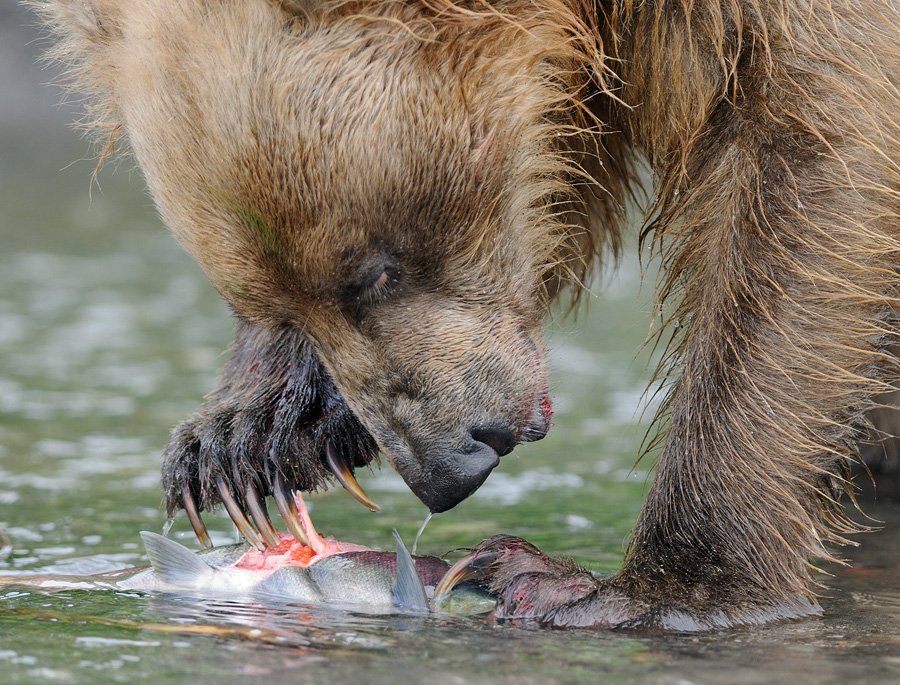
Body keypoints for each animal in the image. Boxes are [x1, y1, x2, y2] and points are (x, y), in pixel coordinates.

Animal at [33, 1, 892, 632]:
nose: (447, 469)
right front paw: (245, 442)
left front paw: (648, 586)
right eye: (262, 299)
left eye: (374, 269)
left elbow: (805, 166)